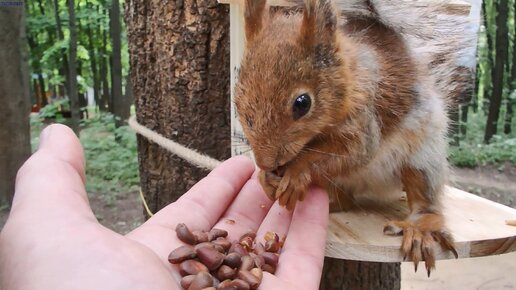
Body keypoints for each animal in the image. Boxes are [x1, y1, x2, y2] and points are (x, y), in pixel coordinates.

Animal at [234, 0, 472, 274]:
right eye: (238, 99)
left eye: (302, 103)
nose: (266, 163)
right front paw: (265, 179)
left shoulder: (364, 123)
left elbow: (354, 153)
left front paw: (296, 173)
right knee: (345, 201)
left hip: (423, 157)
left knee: (425, 195)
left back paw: (420, 227)